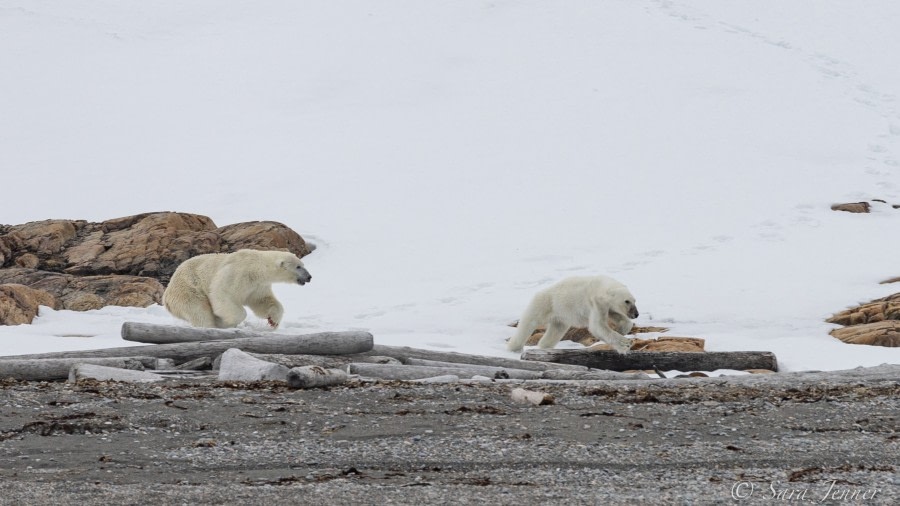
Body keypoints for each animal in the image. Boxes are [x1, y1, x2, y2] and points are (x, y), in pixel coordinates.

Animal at [162, 248, 312, 328]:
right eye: (298, 266)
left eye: (302, 265)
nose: (309, 277)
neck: (257, 267)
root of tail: (166, 295)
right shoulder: (236, 272)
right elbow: (222, 293)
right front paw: (227, 321)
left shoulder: (257, 285)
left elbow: (262, 300)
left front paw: (273, 321)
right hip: (188, 290)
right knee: (199, 311)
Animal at [506, 274, 640, 354]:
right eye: (627, 301)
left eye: (634, 300)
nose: (636, 314)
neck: (601, 286)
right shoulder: (595, 303)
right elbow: (598, 327)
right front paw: (625, 344)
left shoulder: (607, 306)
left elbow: (617, 317)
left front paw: (622, 329)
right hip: (545, 303)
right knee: (528, 323)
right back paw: (514, 348)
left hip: (560, 316)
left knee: (556, 330)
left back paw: (545, 346)